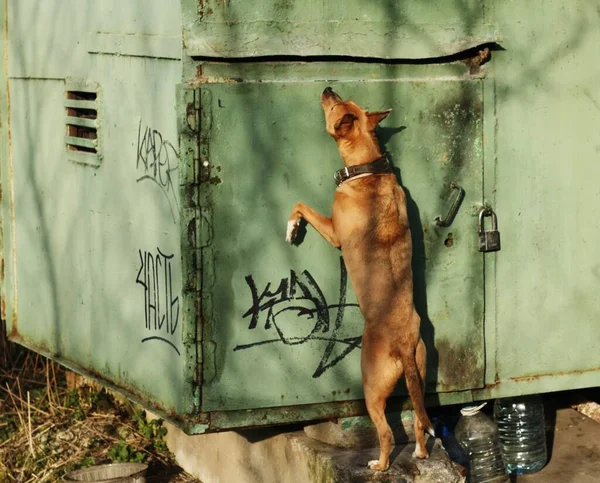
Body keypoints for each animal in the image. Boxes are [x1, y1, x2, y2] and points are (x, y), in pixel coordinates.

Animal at [284, 88, 432, 472]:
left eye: (335, 106)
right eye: (343, 99)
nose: (327, 88)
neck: (369, 168)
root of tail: (404, 340)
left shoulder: (333, 231)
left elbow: (300, 204)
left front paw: (292, 227)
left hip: (372, 388)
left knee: (387, 432)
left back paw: (380, 465)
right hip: (420, 377)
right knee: (420, 423)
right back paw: (420, 452)